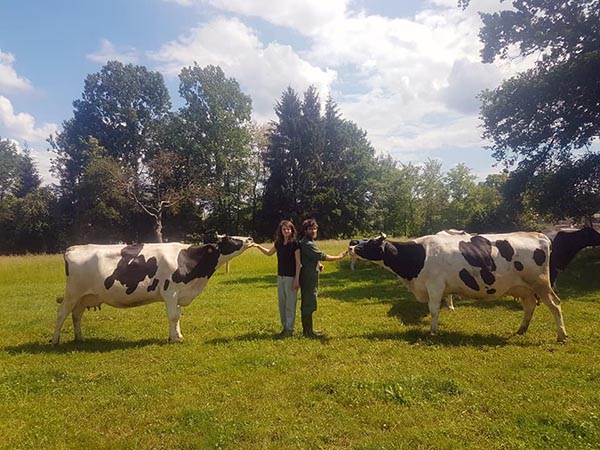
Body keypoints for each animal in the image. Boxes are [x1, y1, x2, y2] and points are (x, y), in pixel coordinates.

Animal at [52, 236, 255, 344]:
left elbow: (178, 316)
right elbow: (173, 316)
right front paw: (174, 339)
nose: (250, 238)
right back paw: (55, 341)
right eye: (231, 239)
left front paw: (178, 335)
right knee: (61, 314)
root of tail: (73, 248)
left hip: (84, 297)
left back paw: (80, 338)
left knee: (76, 315)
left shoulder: (178, 294)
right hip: (72, 293)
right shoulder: (170, 292)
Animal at [350, 232, 564, 342]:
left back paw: (561, 336)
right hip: (524, 288)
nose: (352, 246)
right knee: (529, 306)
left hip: (541, 284)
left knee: (555, 305)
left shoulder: (435, 286)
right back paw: (521, 330)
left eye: (370, 242)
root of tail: (538, 235)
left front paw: (433, 331)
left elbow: (434, 310)